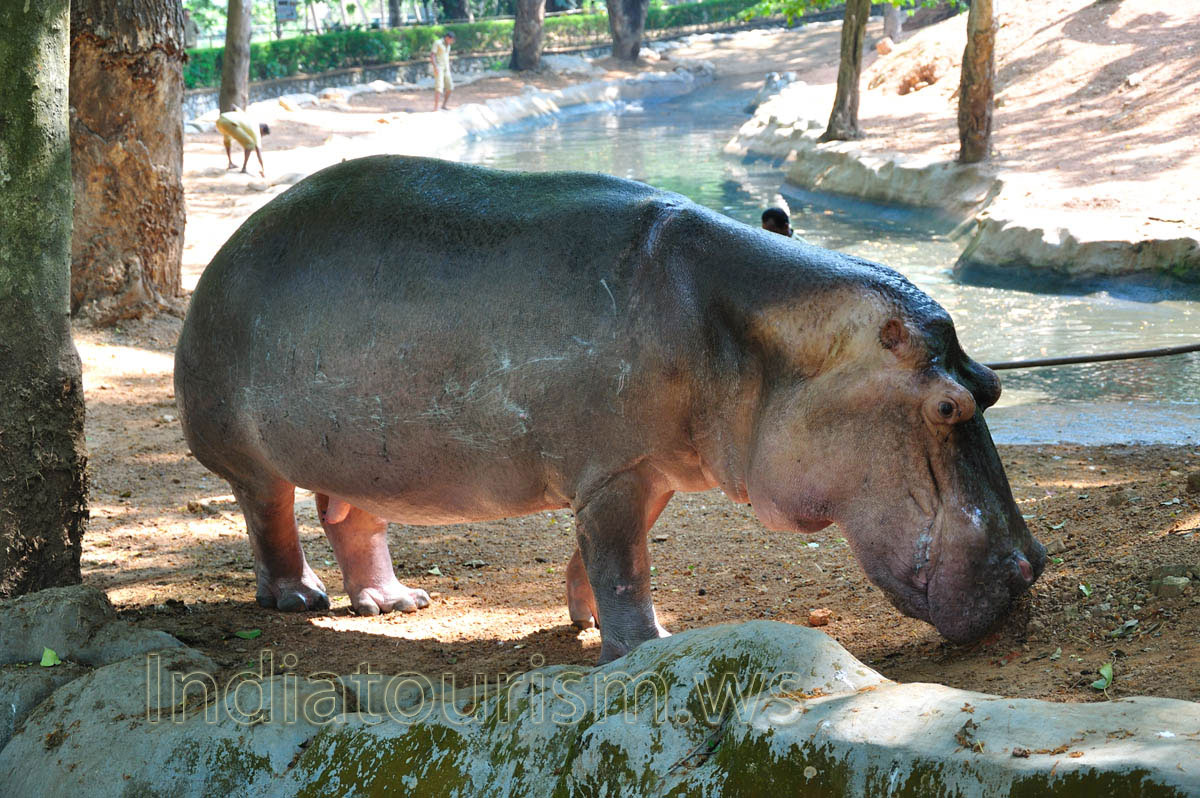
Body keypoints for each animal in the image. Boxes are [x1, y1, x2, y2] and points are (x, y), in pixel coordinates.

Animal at [175, 155, 1045, 663]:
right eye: (946, 406)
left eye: (994, 385)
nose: (1032, 565)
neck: (759, 329)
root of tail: (230, 245)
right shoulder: (616, 472)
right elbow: (625, 563)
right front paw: (650, 643)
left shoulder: (643, 469)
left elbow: (605, 554)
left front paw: (587, 620)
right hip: (247, 454)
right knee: (271, 518)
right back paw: (299, 597)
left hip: (363, 449)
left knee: (353, 517)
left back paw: (395, 603)